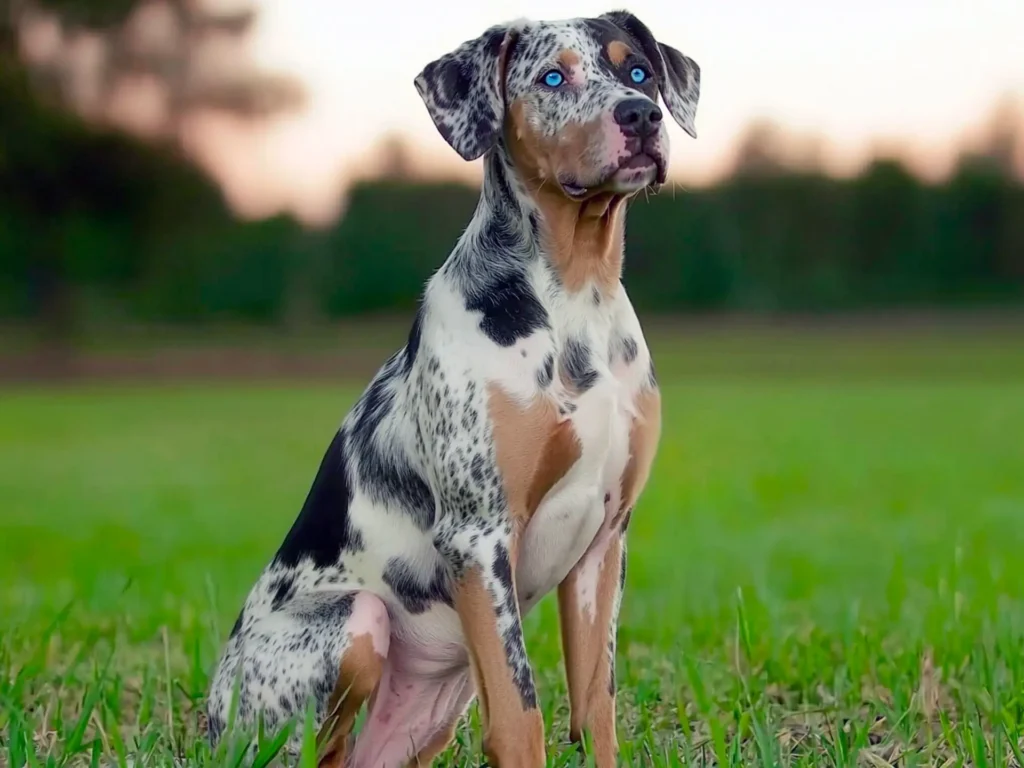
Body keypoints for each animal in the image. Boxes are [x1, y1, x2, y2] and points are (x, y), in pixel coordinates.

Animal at [203, 7, 700, 768]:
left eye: (638, 70)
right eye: (551, 78)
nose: (640, 115)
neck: (576, 295)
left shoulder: (604, 540)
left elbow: (597, 707)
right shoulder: (479, 534)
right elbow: (521, 717)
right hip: (355, 623)